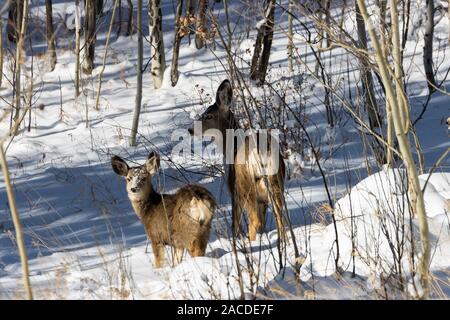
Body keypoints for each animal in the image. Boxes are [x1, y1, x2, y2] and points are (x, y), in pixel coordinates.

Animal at [188, 80, 286, 242]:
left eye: (208, 116)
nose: (190, 130)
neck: (230, 148)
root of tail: (261, 151)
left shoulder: (234, 190)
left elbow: (236, 223)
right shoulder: (263, 199)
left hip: (246, 185)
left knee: (255, 221)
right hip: (275, 183)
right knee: (280, 217)